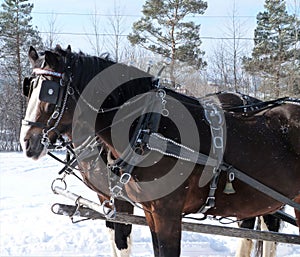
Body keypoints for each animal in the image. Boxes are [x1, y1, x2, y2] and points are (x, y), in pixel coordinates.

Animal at [21, 46, 300, 256]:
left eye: (49, 90)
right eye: (28, 87)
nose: (27, 142)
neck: (147, 127)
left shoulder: (163, 212)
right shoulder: (144, 209)